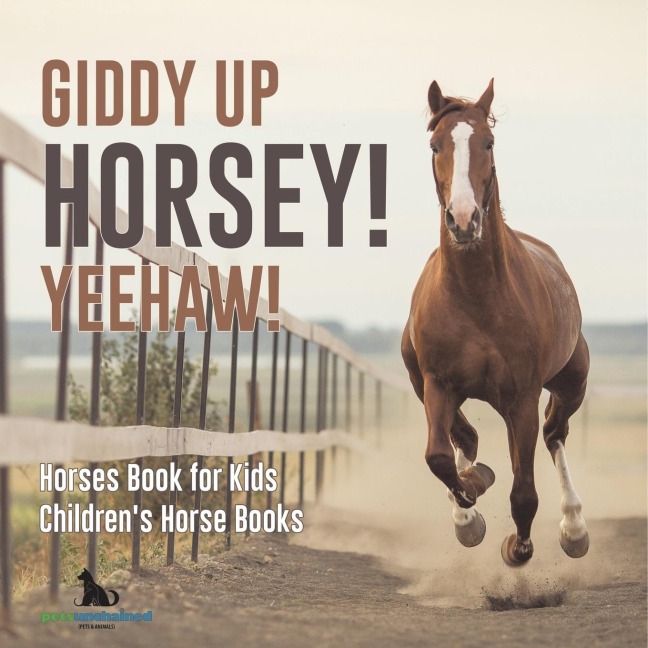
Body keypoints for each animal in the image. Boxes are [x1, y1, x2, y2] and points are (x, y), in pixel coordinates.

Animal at [401, 79, 590, 566]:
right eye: (435, 145)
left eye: (488, 142)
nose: (464, 219)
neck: (476, 298)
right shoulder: (437, 384)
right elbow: (439, 457)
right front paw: (471, 505)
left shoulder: (522, 397)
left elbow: (524, 493)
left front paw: (518, 548)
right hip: (420, 381)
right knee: (463, 438)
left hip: (570, 383)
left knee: (555, 434)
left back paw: (574, 528)